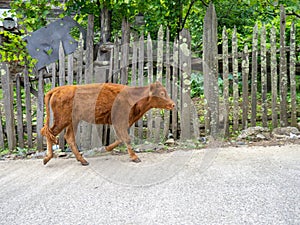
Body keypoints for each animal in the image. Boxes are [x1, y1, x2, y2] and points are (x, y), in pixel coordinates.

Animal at [40, 81, 176, 165]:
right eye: (162, 93)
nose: (173, 104)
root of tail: (58, 89)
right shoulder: (119, 122)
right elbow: (126, 139)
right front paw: (135, 158)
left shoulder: (121, 123)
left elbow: (121, 138)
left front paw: (107, 148)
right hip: (62, 120)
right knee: (49, 133)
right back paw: (47, 158)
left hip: (72, 121)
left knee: (68, 137)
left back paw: (82, 160)